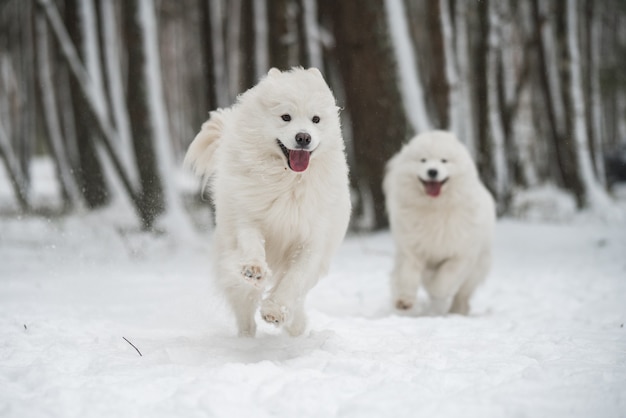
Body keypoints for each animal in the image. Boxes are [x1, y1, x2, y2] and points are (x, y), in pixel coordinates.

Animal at [185, 68, 352, 336]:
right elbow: (252, 242)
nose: (303, 137)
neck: (287, 181)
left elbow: (294, 280)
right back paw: (246, 337)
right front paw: (254, 268)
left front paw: (275, 311)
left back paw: (294, 325)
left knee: (297, 296)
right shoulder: (247, 216)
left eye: (316, 119)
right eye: (286, 117)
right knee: (244, 309)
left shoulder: (311, 240)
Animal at [382, 132, 494, 316]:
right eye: (423, 160)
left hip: (476, 269)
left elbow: (444, 280)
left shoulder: (460, 255)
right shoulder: (411, 249)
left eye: (444, 160)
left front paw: (435, 289)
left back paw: (457, 311)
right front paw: (404, 301)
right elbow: (407, 276)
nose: (432, 171)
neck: (435, 208)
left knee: (462, 295)